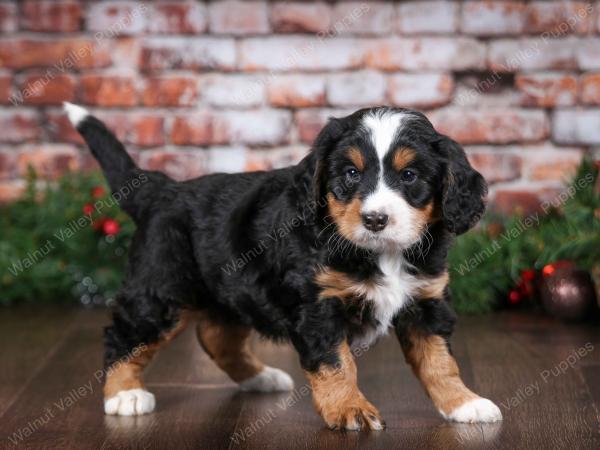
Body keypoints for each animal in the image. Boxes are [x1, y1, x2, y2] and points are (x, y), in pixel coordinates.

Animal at [64, 103, 502, 430]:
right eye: (350, 174)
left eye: (409, 175)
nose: (375, 219)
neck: (381, 252)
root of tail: (161, 189)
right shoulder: (318, 306)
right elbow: (336, 363)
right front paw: (350, 409)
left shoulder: (426, 301)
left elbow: (440, 362)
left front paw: (465, 403)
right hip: (160, 291)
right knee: (124, 335)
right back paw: (124, 394)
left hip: (230, 288)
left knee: (216, 335)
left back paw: (261, 378)